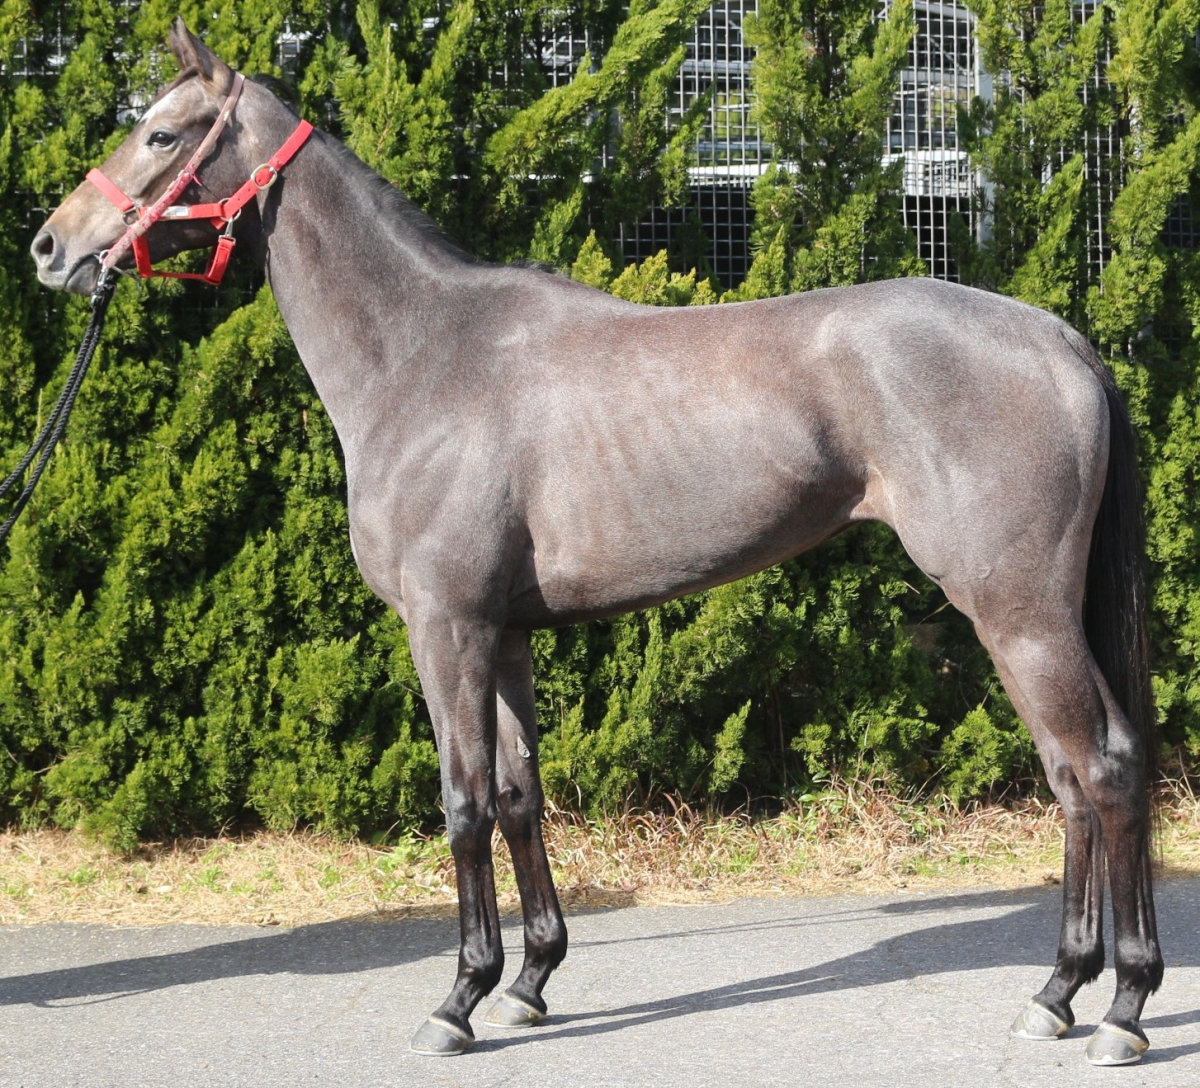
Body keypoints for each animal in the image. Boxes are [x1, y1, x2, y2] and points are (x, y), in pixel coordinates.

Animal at [30, 19, 1162, 1066]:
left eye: (159, 132)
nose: (50, 246)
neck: (425, 356)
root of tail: (1060, 338)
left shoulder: (446, 627)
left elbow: (463, 802)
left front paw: (458, 999)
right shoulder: (505, 633)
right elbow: (521, 793)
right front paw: (529, 980)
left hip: (1018, 613)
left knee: (1102, 769)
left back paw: (1122, 1008)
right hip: (1024, 621)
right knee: (1072, 779)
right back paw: (1058, 991)